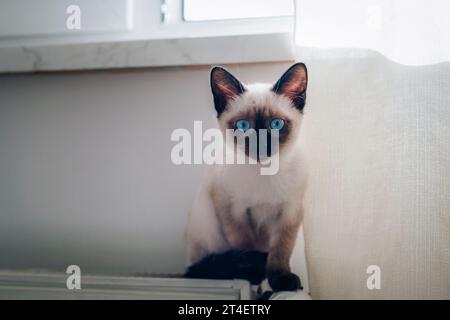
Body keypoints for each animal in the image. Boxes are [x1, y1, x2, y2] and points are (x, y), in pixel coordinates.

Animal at [185, 63, 308, 292]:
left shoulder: (290, 211)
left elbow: (280, 250)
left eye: (276, 124)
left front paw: (281, 280)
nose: (261, 147)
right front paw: (254, 277)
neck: (264, 172)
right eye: (243, 126)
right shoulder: (234, 212)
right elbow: (245, 247)